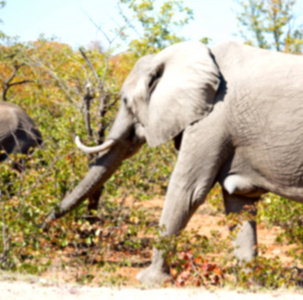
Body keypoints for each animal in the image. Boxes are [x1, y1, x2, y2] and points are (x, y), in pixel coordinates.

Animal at [44, 41, 303, 284]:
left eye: (126, 101)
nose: (43, 226)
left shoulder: (212, 119)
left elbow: (187, 190)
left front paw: (148, 280)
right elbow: (239, 201)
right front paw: (250, 285)